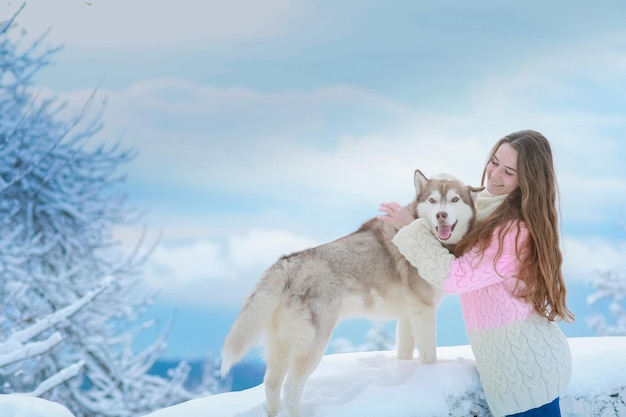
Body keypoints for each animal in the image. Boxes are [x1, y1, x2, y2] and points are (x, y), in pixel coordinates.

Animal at [222, 170, 480, 416]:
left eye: (454, 199)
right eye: (433, 200)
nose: (441, 215)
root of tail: (288, 263)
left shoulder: (408, 315)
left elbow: (404, 354)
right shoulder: (423, 311)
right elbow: (429, 357)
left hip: (282, 346)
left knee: (271, 386)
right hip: (313, 345)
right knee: (291, 389)